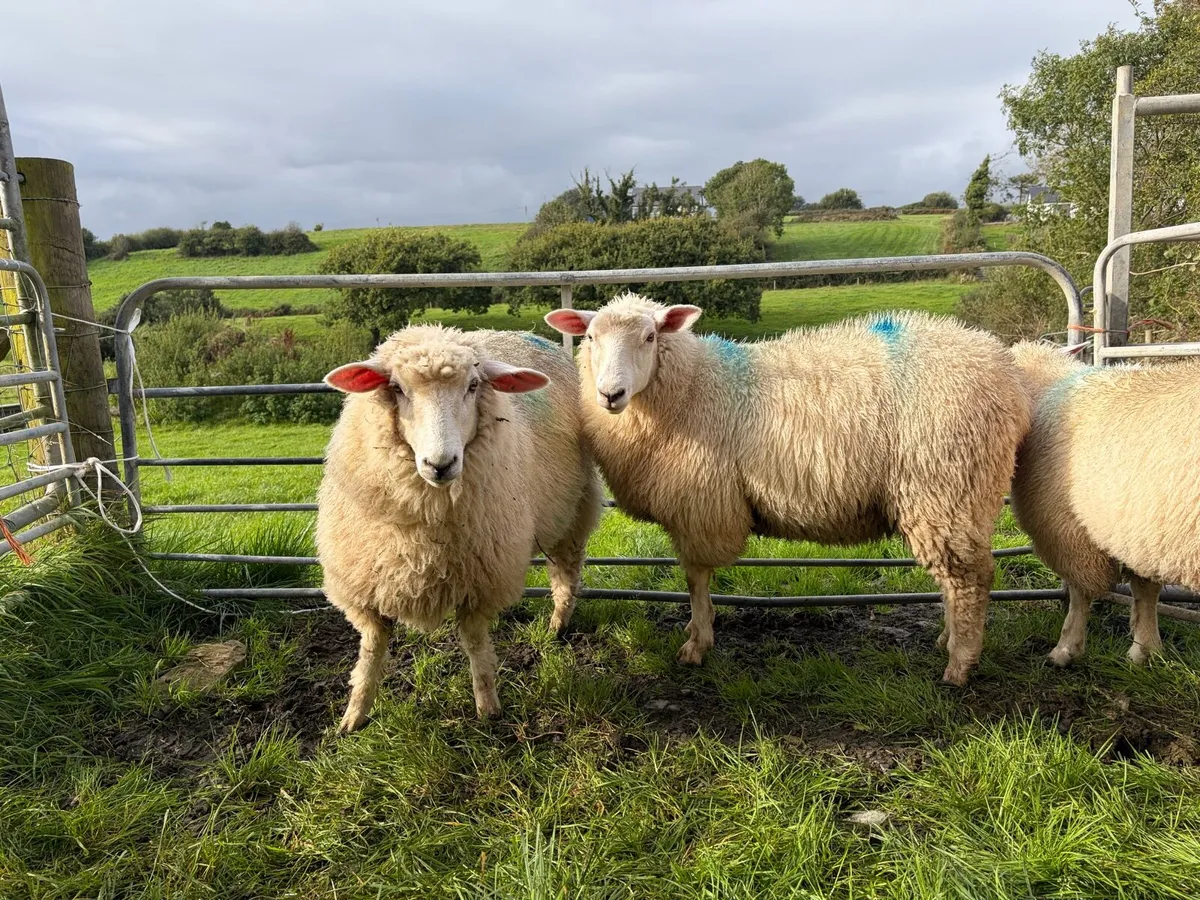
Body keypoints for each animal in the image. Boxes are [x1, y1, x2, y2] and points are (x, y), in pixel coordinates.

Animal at [317, 325, 601, 732]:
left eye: (473, 386)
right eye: (397, 388)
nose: (441, 464)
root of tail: (522, 333)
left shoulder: (480, 579)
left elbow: (475, 643)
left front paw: (488, 710)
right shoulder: (366, 582)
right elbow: (371, 650)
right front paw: (354, 716)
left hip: (572, 509)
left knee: (565, 571)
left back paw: (557, 626)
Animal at [546, 294, 1030, 685]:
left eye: (649, 337)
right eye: (590, 336)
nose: (610, 394)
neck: (693, 387)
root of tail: (1007, 375)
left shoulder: (701, 505)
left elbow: (696, 580)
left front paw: (697, 643)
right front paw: (694, 632)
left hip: (945, 486)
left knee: (970, 578)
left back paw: (959, 664)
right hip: (955, 499)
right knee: (957, 578)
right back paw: (947, 638)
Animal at [1008, 341, 1200, 666]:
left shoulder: (1067, 529)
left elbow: (1079, 593)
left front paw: (1066, 649)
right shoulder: (1141, 529)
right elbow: (1145, 590)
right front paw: (1145, 649)